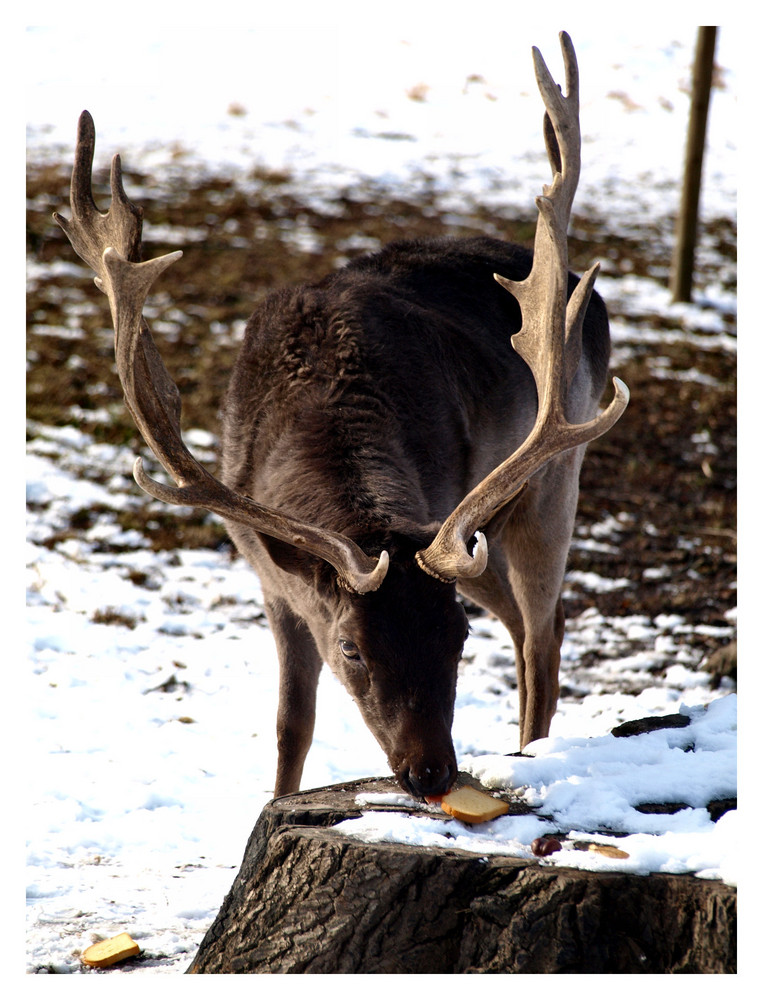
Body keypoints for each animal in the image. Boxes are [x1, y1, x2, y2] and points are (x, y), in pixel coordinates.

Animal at [52, 33, 628, 796]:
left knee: (543, 632)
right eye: (352, 647)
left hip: (554, 476)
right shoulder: (275, 583)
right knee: (529, 620)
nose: (430, 773)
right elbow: (290, 727)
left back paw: (532, 746)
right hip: (480, 536)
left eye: (455, 638)